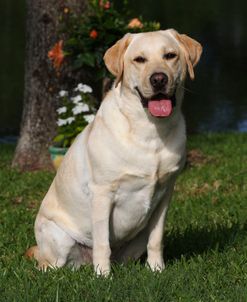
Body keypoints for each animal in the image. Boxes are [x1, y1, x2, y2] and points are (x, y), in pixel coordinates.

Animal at [26, 29, 202, 274]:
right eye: (139, 59)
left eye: (170, 55)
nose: (158, 79)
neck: (150, 131)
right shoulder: (102, 193)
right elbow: (102, 242)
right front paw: (103, 275)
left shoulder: (166, 192)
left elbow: (156, 239)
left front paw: (157, 269)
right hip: (58, 239)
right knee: (49, 263)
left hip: (137, 238)